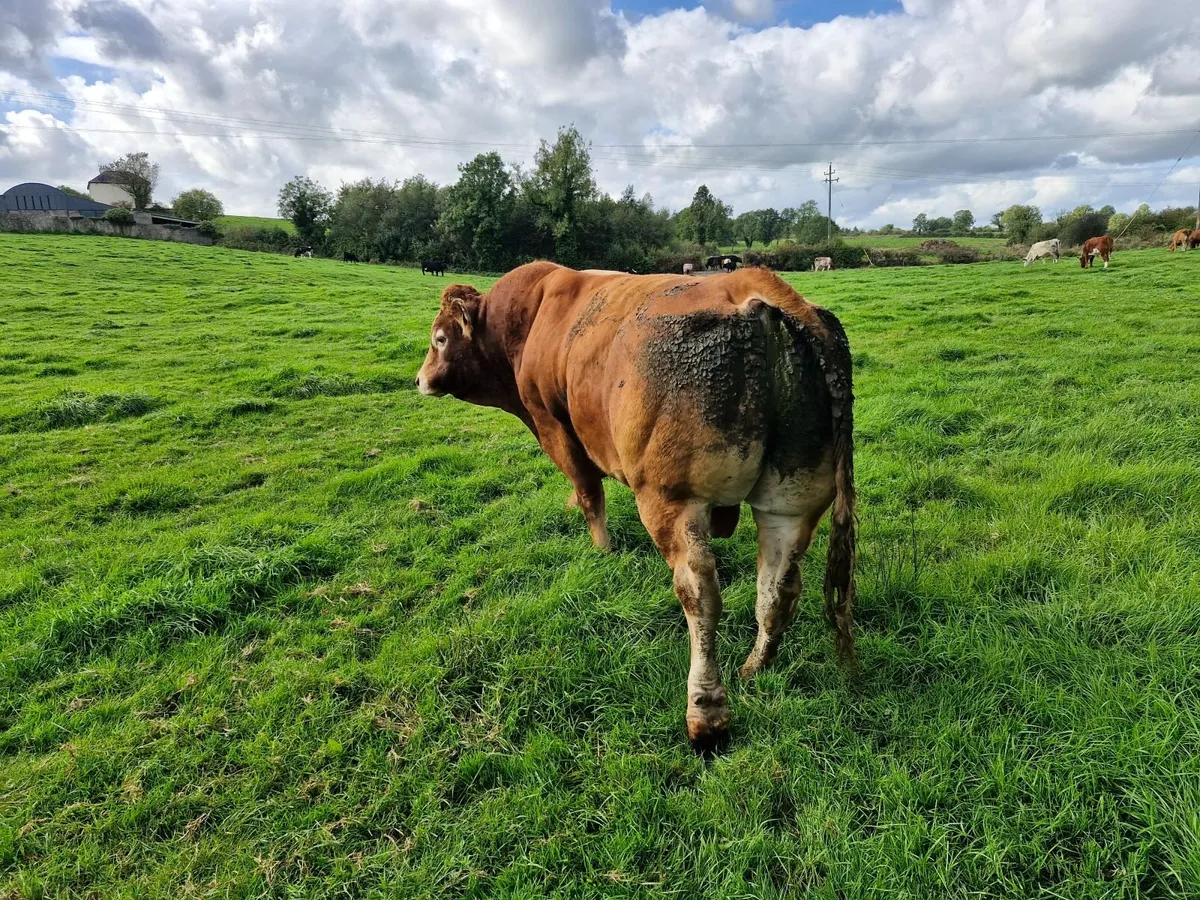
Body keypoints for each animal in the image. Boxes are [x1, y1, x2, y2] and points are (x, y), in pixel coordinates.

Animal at [416, 262, 856, 753]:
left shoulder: (555, 429)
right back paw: (755, 667)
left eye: (439, 338)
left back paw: (705, 713)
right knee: (778, 588)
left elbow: (589, 492)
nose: (419, 379)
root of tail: (755, 284)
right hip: (790, 504)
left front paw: (602, 551)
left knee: (700, 595)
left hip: (672, 499)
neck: (525, 323)